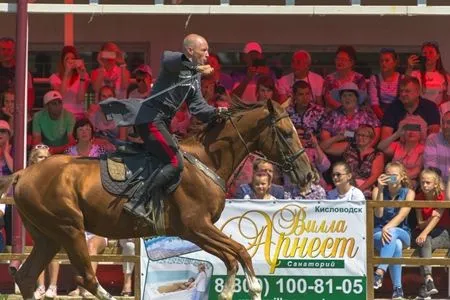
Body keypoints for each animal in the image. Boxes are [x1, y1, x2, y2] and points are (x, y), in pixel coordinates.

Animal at [0, 99, 312, 300]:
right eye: (286, 134)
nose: (308, 176)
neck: (206, 161)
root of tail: (24, 173)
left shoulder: (198, 232)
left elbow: (234, 257)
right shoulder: (196, 227)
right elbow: (241, 252)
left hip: (48, 236)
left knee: (26, 278)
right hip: (69, 229)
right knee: (86, 278)